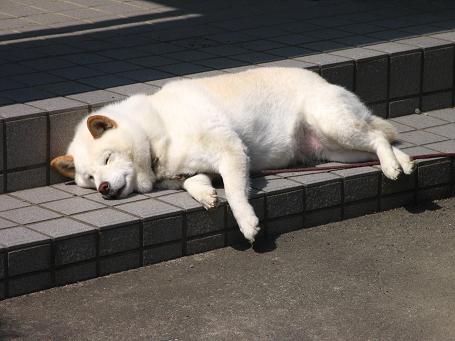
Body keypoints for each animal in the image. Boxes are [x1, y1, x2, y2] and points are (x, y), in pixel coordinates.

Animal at [51, 67, 416, 242]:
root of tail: (329, 84)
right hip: (335, 151)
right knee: (378, 141)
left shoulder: (230, 150)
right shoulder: (186, 170)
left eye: (107, 159)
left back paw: (392, 166)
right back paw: (403, 163)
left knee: (377, 136)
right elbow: (194, 182)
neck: (157, 132)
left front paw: (247, 223)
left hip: (332, 124)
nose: (103, 189)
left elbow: (236, 192)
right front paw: (206, 195)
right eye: (90, 178)